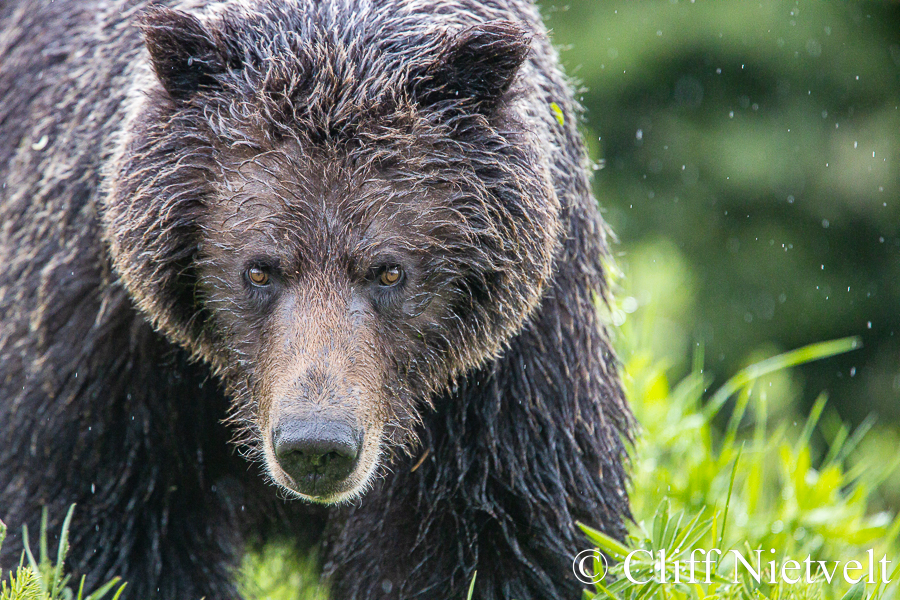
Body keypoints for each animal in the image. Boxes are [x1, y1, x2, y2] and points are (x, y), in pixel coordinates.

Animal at [0, 0, 632, 598]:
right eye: (259, 269)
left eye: (388, 271)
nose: (317, 445)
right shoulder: (111, 341)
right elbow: (101, 529)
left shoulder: (505, 377)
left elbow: (491, 537)